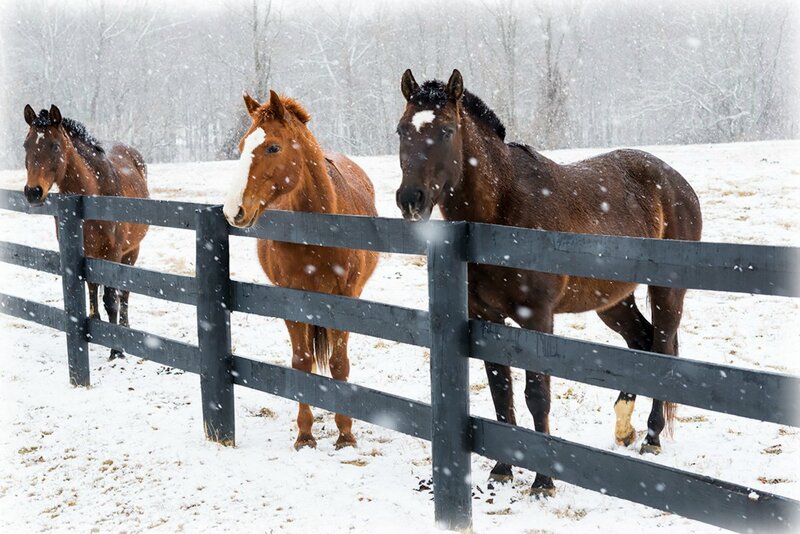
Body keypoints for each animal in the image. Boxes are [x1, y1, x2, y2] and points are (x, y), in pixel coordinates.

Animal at [22, 104, 150, 360]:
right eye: (25, 145)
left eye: (55, 145)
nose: (33, 192)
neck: (92, 195)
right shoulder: (83, 253)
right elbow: (90, 290)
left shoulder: (112, 253)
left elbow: (111, 299)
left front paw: (116, 350)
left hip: (131, 251)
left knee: (124, 293)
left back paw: (125, 328)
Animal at [223, 90, 379, 450]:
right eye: (241, 146)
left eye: (272, 147)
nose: (232, 210)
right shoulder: (292, 299)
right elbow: (302, 362)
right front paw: (305, 435)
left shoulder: (345, 299)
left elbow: (338, 364)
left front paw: (346, 435)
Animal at [395, 69, 702, 496]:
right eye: (401, 130)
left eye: (446, 130)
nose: (410, 199)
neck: (502, 210)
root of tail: (675, 181)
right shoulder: (485, 319)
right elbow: (501, 391)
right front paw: (502, 469)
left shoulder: (537, 318)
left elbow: (536, 395)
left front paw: (543, 480)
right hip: (613, 302)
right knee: (640, 344)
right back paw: (624, 427)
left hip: (667, 292)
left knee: (661, 350)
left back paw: (652, 437)